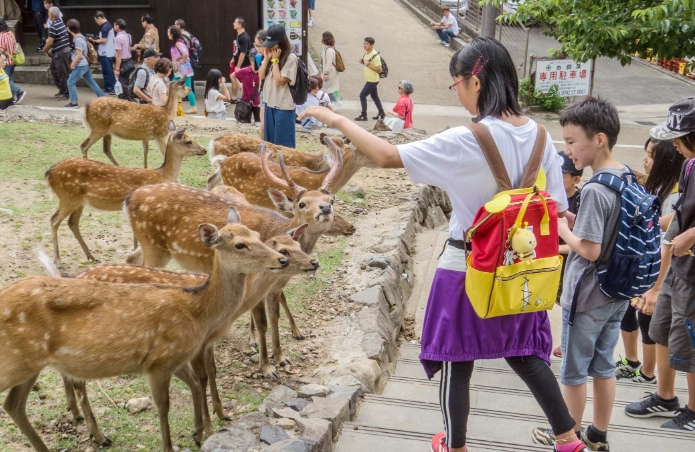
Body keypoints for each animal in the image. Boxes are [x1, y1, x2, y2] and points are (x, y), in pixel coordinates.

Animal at [0, 210, 289, 452]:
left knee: (14, 404)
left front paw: (199, 433)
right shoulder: (159, 362)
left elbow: (196, 383)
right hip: (14, 361)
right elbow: (164, 407)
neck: (196, 311)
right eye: (240, 244)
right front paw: (174, 445)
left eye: (258, 235)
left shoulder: (172, 358)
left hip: (32, 364)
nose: (282, 259)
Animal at [46, 128, 206, 270]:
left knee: (72, 222)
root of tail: (49, 172)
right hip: (68, 197)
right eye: (188, 141)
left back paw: (91, 256)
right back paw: (58, 262)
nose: (204, 150)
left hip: (79, 201)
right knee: (54, 220)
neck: (161, 175)